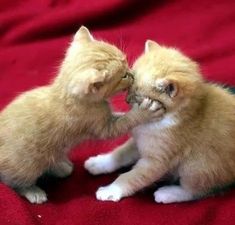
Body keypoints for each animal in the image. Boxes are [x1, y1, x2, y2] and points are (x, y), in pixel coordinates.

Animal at [0, 28, 164, 204]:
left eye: (126, 61)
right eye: (123, 76)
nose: (132, 73)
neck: (66, 95)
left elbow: (121, 115)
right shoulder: (102, 128)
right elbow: (126, 120)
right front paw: (144, 112)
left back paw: (60, 166)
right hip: (26, 166)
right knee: (13, 182)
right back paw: (33, 191)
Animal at [85, 39, 235, 203]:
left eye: (138, 97)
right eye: (129, 87)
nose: (126, 100)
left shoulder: (157, 160)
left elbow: (131, 177)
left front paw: (112, 189)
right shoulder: (138, 141)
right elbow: (121, 153)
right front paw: (100, 163)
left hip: (197, 166)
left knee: (195, 190)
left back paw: (168, 193)